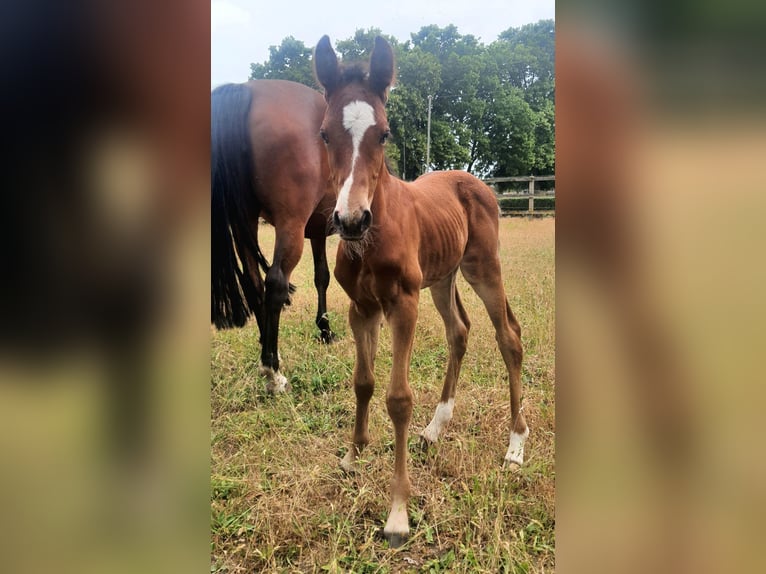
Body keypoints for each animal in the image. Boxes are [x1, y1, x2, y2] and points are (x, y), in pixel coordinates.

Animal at [214, 81, 338, 394]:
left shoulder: (317, 232)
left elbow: (321, 276)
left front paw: (324, 329)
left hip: (246, 221)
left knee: (255, 283)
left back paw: (267, 350)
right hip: (289, 225)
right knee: (275, 283)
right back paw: (273, 371)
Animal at [316, 36, 532, 548]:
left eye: (384, 134)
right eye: (325, 134)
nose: (350, 220)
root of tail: (476, 182)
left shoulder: (403, 305)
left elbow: (397, 398)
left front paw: (397, 514)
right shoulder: (361, 308)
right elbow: (364, 382)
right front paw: (353, 456)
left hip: (482, 268)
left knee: (508, 338)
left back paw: (515, 445)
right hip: (443, 277)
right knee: (460, 330)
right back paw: (435, 429)